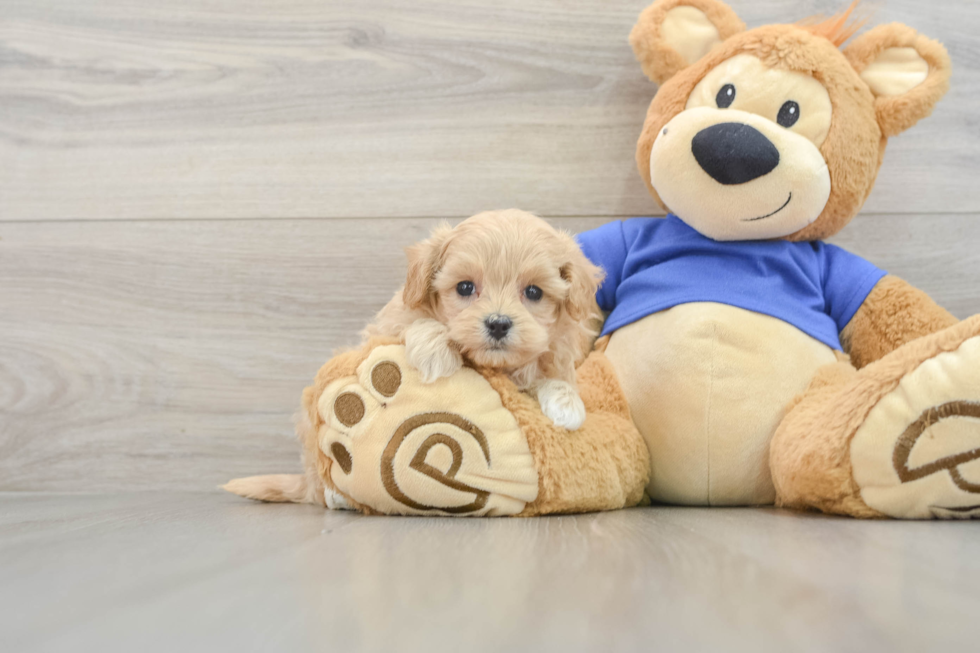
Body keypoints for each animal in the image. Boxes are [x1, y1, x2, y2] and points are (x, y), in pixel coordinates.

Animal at [362, 209, 600, 430]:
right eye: (465, 287)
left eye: (534, 292)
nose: (498, 324)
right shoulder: (388, 323)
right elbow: (413, 320)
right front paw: (433, 351)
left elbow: (554, 372)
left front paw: (566, 402)